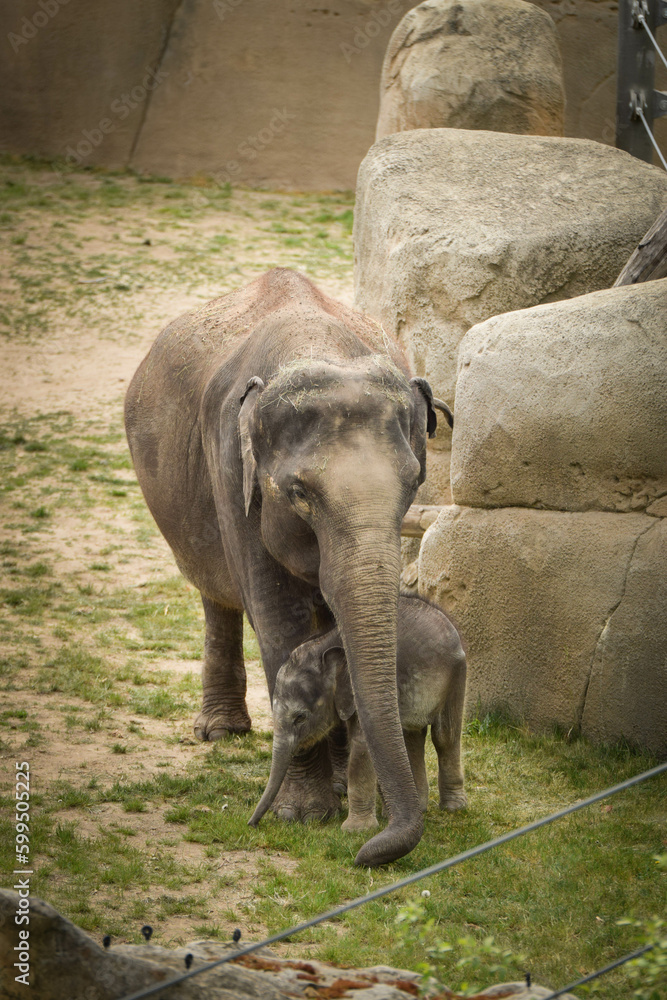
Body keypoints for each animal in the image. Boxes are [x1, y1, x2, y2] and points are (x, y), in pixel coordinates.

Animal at [249, 593, 468, 832]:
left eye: (300, 717)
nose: (252, 823)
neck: (325, 647)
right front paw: (385, 816)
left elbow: (362, 745)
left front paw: (356, 830)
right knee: (412, 737)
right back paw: (419, 807)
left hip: (456, 675)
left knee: (445, 736)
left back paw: (454, 808)